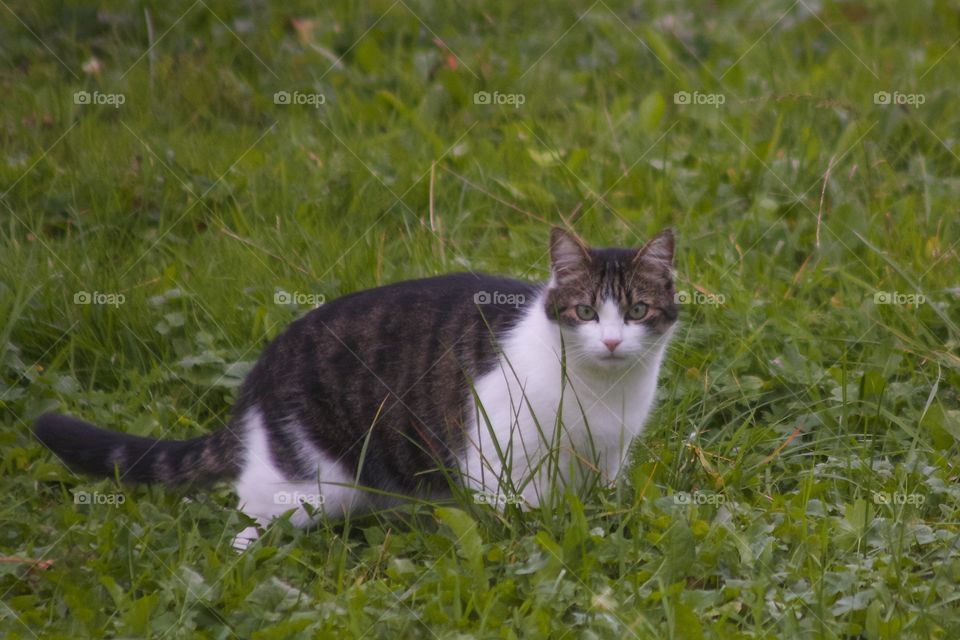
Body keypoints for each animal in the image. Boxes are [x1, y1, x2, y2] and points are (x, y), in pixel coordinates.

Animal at [33, 228, 680, 548]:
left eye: (637, 310)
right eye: (585, 312)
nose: (613, 342)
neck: (603, 392)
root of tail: (261, 370)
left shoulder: (606, 461)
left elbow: (598, 504)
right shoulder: (502, 461)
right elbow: (518, 519)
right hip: (303, 488)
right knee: (244, 528)